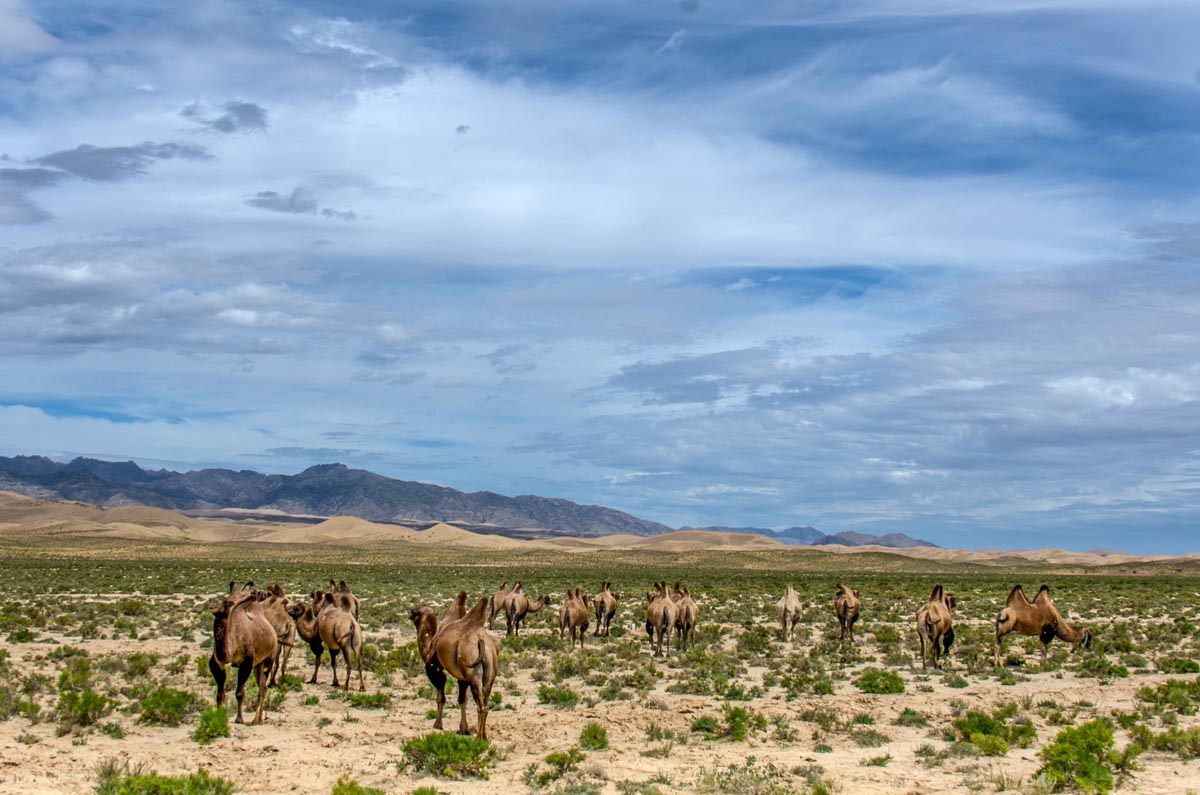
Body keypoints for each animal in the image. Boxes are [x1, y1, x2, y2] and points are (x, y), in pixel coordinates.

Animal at [210, 583, 279, 725]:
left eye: (225, 602)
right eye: (212, 599)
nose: (212, 604)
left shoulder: (246, 662)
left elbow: (239, 693)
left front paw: (239, 718)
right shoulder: (217, 662)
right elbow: (220, 694)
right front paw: (218, 716)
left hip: (269, 659)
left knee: (262, 687)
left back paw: (256, 720)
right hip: (257, 665)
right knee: (262, 686)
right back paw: (258, 718)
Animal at [405, 590, 494, 739]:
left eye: (416, 611)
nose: (409, 610)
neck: (430, 643)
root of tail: (481, 642)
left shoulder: (434, 667)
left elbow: (441, 697)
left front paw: (438, 725)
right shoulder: (462, 677)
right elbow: (462, 700)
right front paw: (464, 728)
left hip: (473, 673)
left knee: (481, 705)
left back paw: (478, 738)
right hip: (489, 673)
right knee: (485, 701)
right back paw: (484, 736)